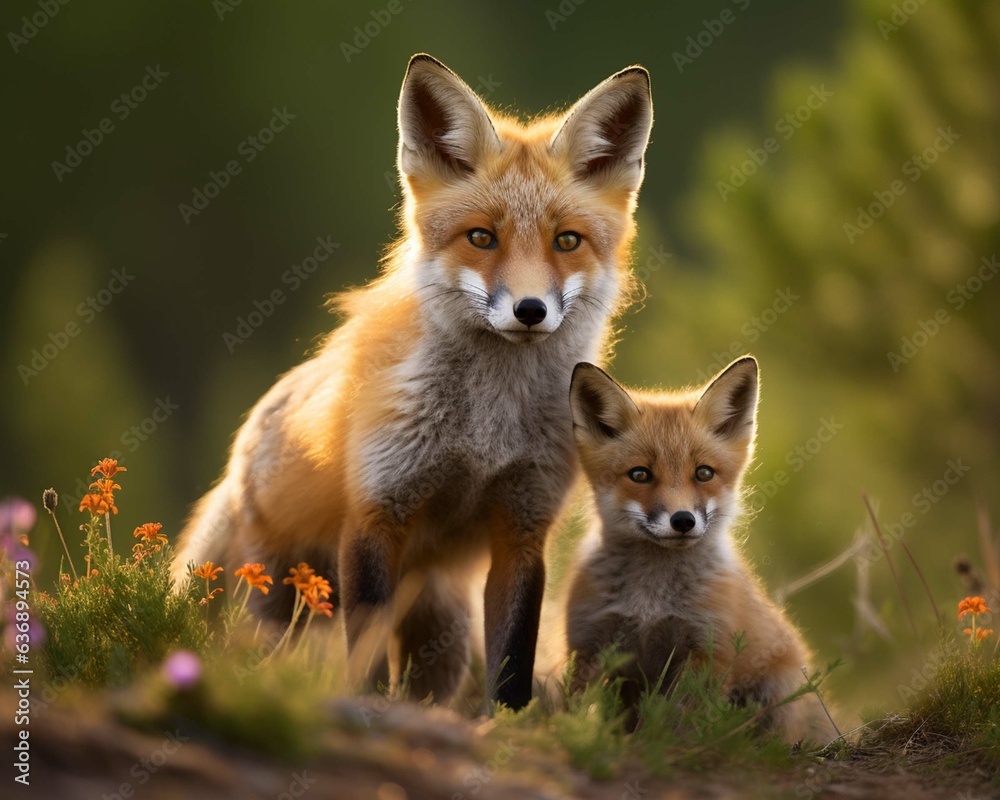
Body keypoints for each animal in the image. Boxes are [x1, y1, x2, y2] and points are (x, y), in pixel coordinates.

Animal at [171, 54, 654, 710]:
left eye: (567, 241)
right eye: (481, 237)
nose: (530, 310)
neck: (484, 428)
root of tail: (240, 455)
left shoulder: (523, 528)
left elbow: (513, 660)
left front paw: (503, 722)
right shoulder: (378, 510)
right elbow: (369, 647)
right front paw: (369, 708)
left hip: (441, 622)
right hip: (275, 601)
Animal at [564, 357, 837, 743]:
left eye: (704, 473)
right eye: (640, 474)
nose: (683, 520)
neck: (651, 602)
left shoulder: (707, 649)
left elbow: (681, 721)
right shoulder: (588, 644)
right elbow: (571, 712)